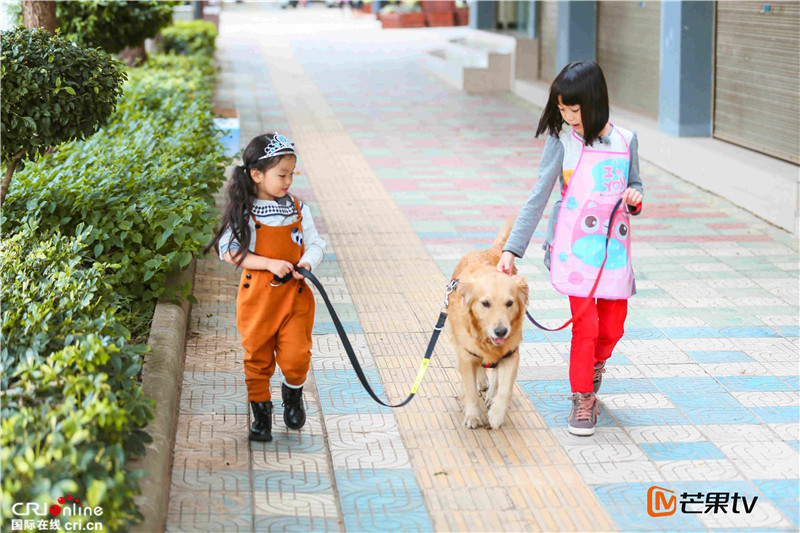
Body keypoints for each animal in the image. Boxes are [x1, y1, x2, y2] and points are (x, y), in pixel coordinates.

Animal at [448, 219, 529, 429]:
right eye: (485, 303)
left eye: (510, 303)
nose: (501, 331)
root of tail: (491, 250)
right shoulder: (466, 354)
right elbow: (470, 388)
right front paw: (472, 415)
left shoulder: (511, 354)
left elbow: (505, 387)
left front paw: (497, 415)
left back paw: (491, 394)